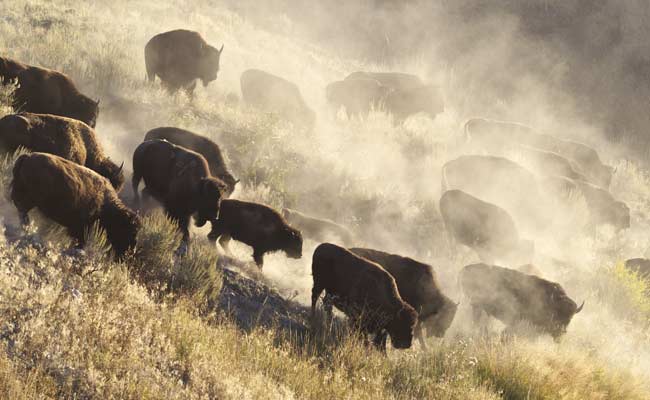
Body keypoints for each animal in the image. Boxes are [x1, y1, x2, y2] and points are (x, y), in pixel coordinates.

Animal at [11, 152, 139, 258]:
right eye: (130, 230)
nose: (131, 251)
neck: (106, 204)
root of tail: (28, 157)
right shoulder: (81, 227)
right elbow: (80, 241)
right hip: (31, 199)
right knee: (22, 210)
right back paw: (27, 230)